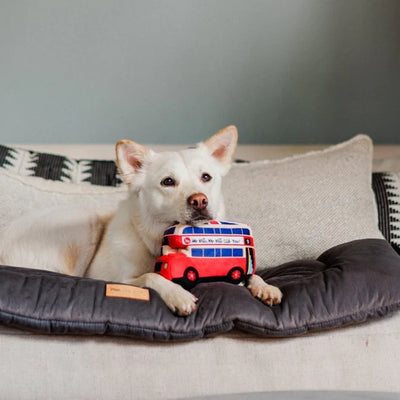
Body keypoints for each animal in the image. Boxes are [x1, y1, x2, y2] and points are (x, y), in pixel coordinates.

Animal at [0, 126, 282, 314]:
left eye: (206, 177)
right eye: (168, 182)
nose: (200, 200)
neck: (157, 240)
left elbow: (249, 273)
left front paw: (263, 285)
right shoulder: (124, 281)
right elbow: (152, 277)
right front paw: (176, 294)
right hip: (85, 219)